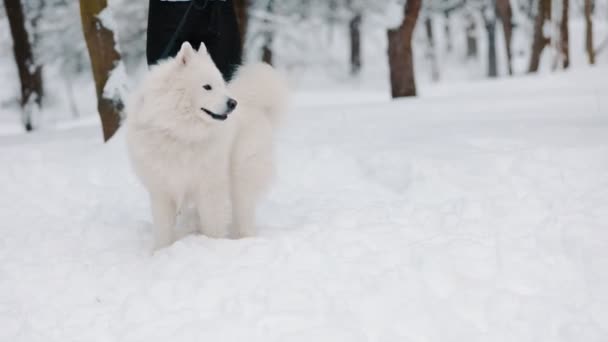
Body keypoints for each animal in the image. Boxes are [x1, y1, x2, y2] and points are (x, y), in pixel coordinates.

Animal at [126, 41, 288, 250]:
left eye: (220, 84)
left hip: (240, 177)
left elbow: (213, 223)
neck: (181, 131)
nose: (233, 103)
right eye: (207, 87)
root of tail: (257, 105)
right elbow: (163, 229)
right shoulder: (162, 189)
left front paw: (213, 246)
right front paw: (160, 251)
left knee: (243, 211)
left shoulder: (210, 187)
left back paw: (244, 239)